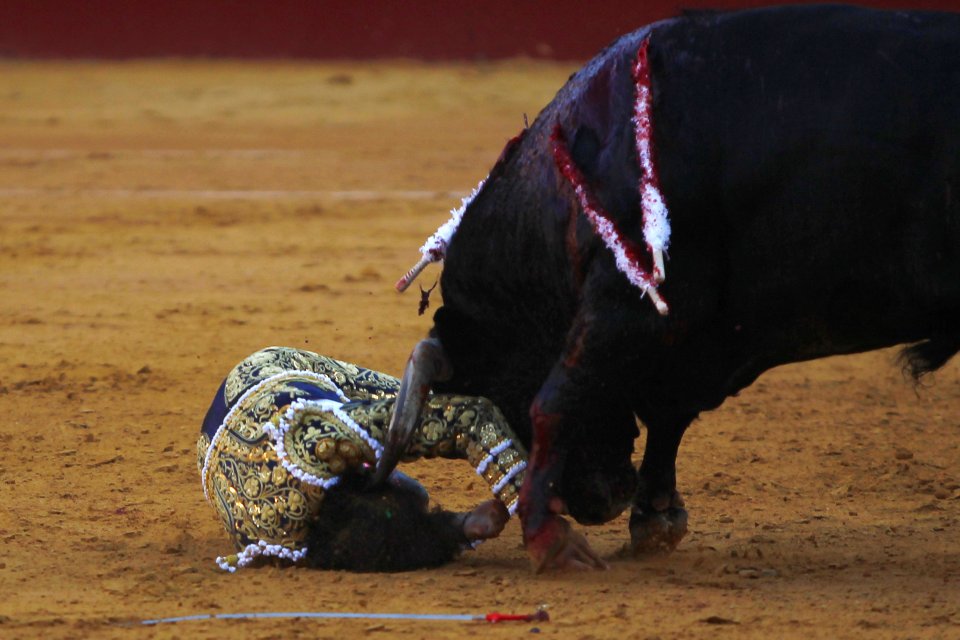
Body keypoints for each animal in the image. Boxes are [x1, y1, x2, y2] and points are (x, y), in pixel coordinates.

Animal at [372, 5, 956, 572]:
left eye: (500, 399)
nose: (599, 502)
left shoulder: (634, 306)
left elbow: (556, 401)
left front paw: (550, 538)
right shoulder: (686, 333)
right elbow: (666, 412)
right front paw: (652, 519)